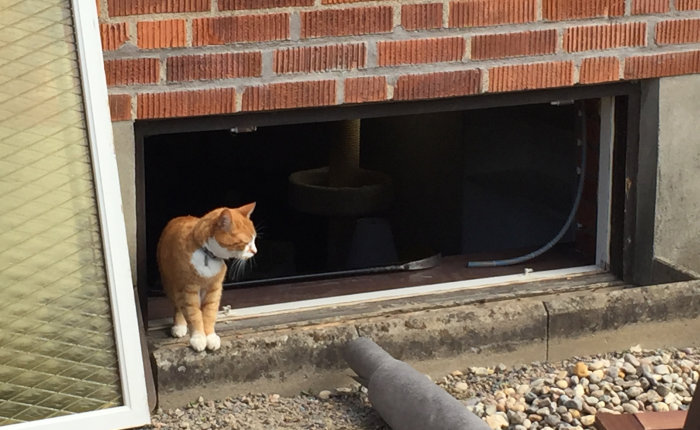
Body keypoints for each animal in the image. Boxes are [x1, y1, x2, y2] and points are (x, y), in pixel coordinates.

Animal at [156, 203, 258, 352]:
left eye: (254, 239)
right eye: (245, 242)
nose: (255, 251)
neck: (207, 254)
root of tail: (180, 217)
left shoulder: (214, 289)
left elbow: (209, 314)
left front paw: (210, 336)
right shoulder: (188, 290)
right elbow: (194, 315)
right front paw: (198, 338)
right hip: (170, 285)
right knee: (178, 306)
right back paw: (179, 326)